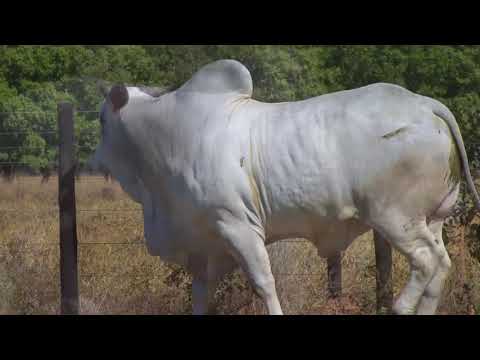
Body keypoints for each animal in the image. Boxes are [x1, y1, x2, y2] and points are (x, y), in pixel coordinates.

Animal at [91, 59, 480, 316]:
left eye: (101, 119)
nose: (95, 160)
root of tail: (424, 103)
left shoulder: (237, 225)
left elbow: (264, 282)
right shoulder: (205, 246)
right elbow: (202, 295)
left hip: (394, 216)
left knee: (426, 261)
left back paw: (399, 306)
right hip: (432, 217)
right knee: (441, 265)